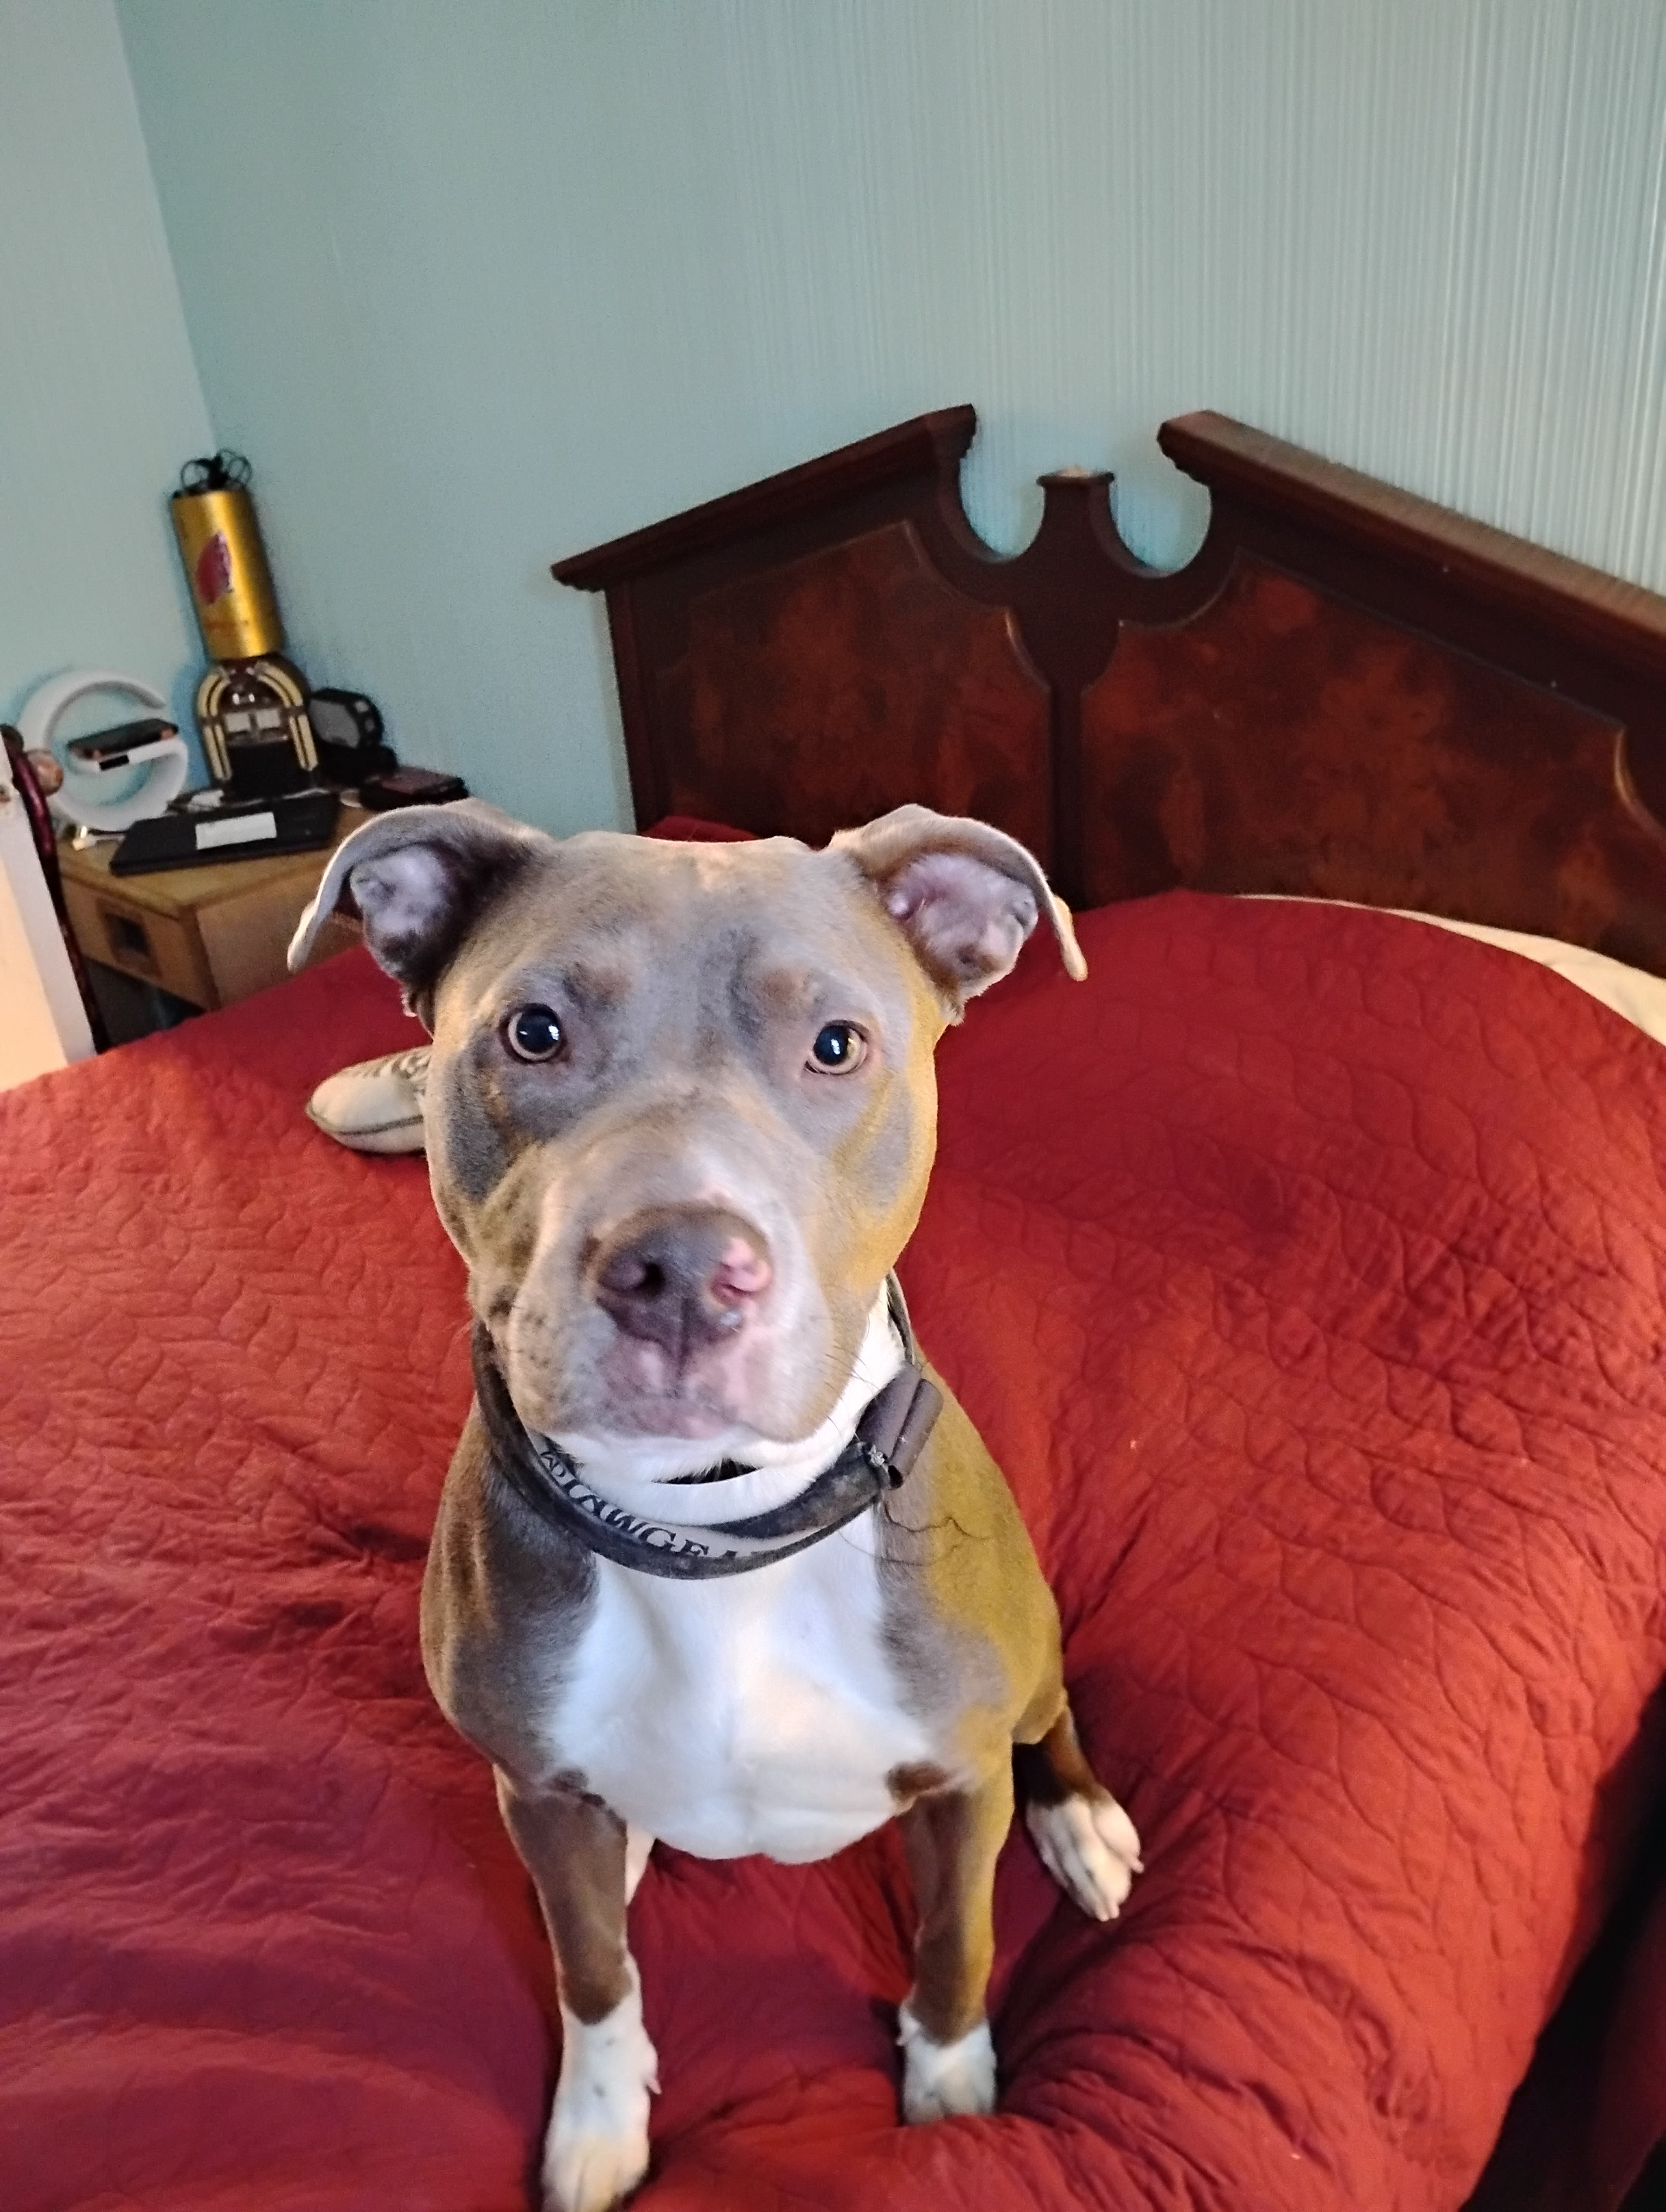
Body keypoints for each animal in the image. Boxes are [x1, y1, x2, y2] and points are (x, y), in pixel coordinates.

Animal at [290, 802, 1142, 2212]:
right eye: (533, 1031)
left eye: (837, 1044)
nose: (683, 1268)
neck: (707, 1530)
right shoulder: (535, 1788)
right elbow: (590, 1968)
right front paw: (596, 2126)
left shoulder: (962, 1780)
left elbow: (955, 1942)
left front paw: (949, 2091)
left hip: (1024, 1656)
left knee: (1054, 1710)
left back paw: (1080, 1822)